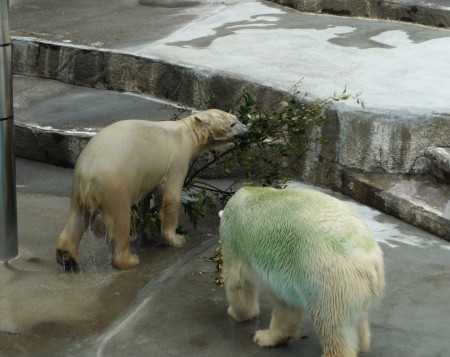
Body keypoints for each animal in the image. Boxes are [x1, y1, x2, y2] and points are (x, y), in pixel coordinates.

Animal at [56, 108, 248, 270]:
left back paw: (67, 257)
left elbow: (147, 199)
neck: (186, 131)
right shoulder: (177, 159)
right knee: (120, 221)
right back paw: (130, 260)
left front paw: (149, 232)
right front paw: (176, 238)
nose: (247, 130)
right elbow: (170, 196)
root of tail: (88, 175)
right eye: (232, 124)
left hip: (78, 187)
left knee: (78, 216)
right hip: (115, 186)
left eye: (236, 117)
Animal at [220, 186, 384, 356]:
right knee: (358, 320)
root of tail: (372, 263)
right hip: (356, 288)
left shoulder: (233, 236)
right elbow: (286, 303)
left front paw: (236, 313)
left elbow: (237, 280)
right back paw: (362, 344)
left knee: (331, 324)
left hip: (328, 279)